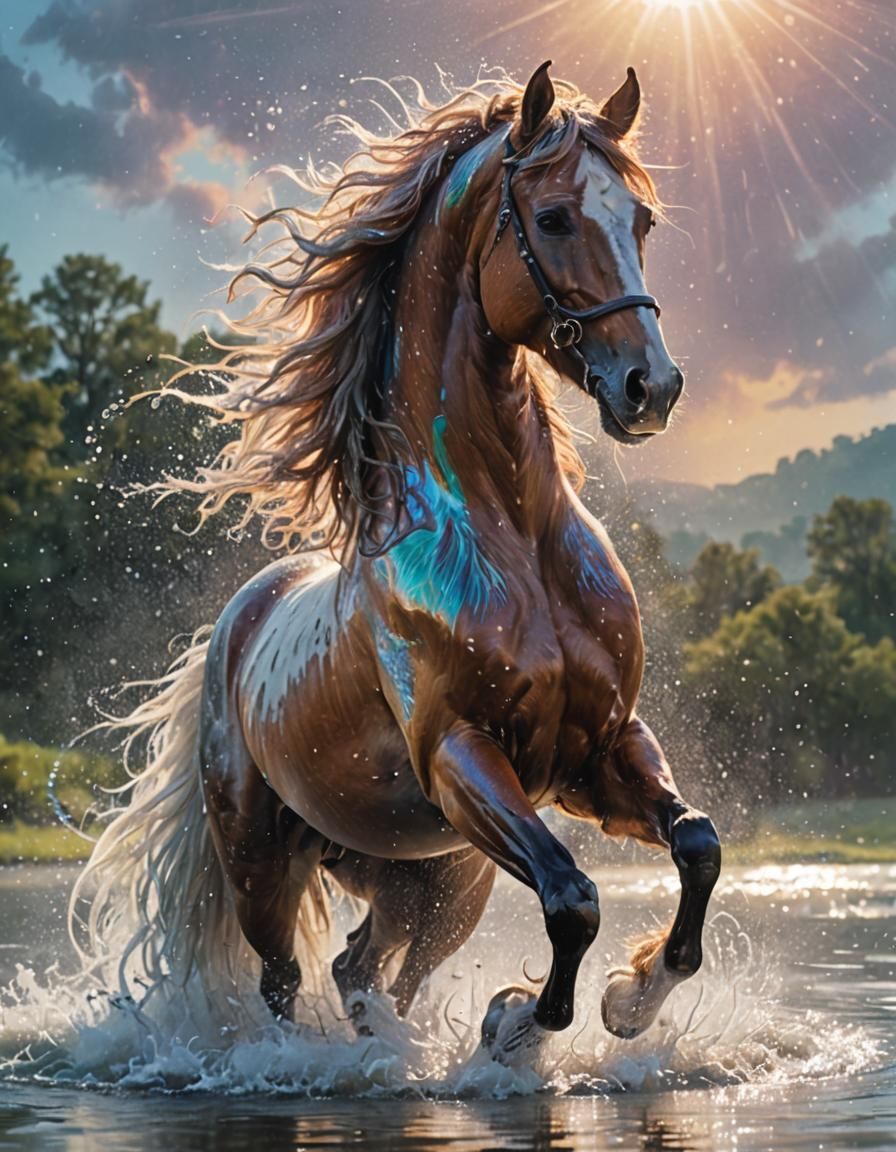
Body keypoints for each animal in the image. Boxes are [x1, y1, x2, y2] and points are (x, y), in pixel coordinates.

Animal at [75, 62, 721, 1062]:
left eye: (642, 221)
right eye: (554, 218)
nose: (650, 388)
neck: (516, 542)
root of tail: (238, 622)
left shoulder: (600, 749)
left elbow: (696, 843)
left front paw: (630, 998)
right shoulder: (462, 757)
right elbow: (573, 897)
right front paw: (516, 1025)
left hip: (436, 882)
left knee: (370, 970)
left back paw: (393, 1049)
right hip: (268, 864)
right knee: (287, 981)